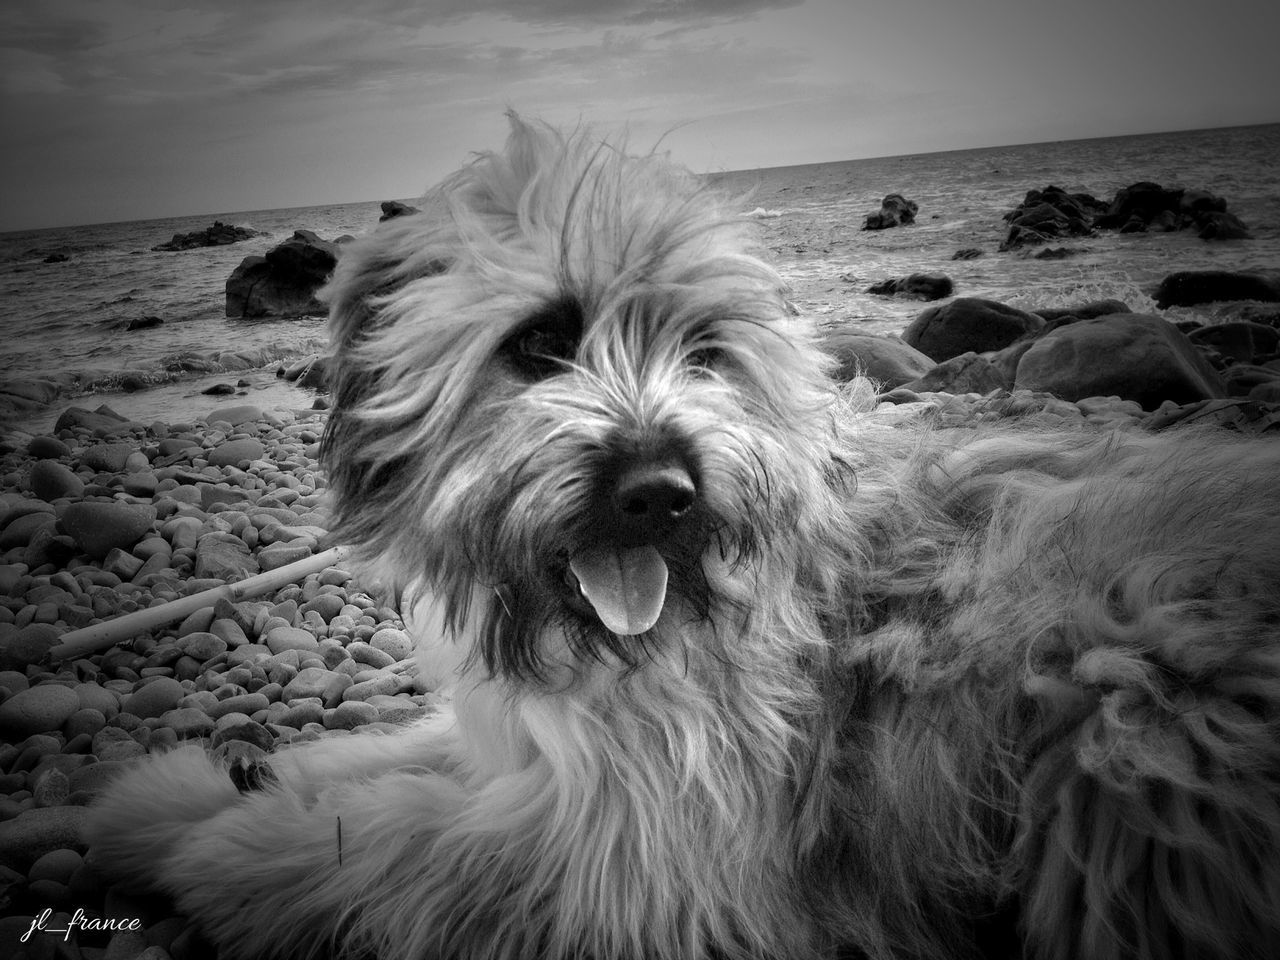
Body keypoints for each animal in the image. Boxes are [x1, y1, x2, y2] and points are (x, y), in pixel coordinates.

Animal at [85, 116, 1274, 957]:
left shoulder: (650, 870)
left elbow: (392, 845)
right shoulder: (543, 753)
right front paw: (181, 795)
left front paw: (224, 847)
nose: (659, 493)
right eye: (539, 343)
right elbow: (383, 754)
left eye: (705, 352)